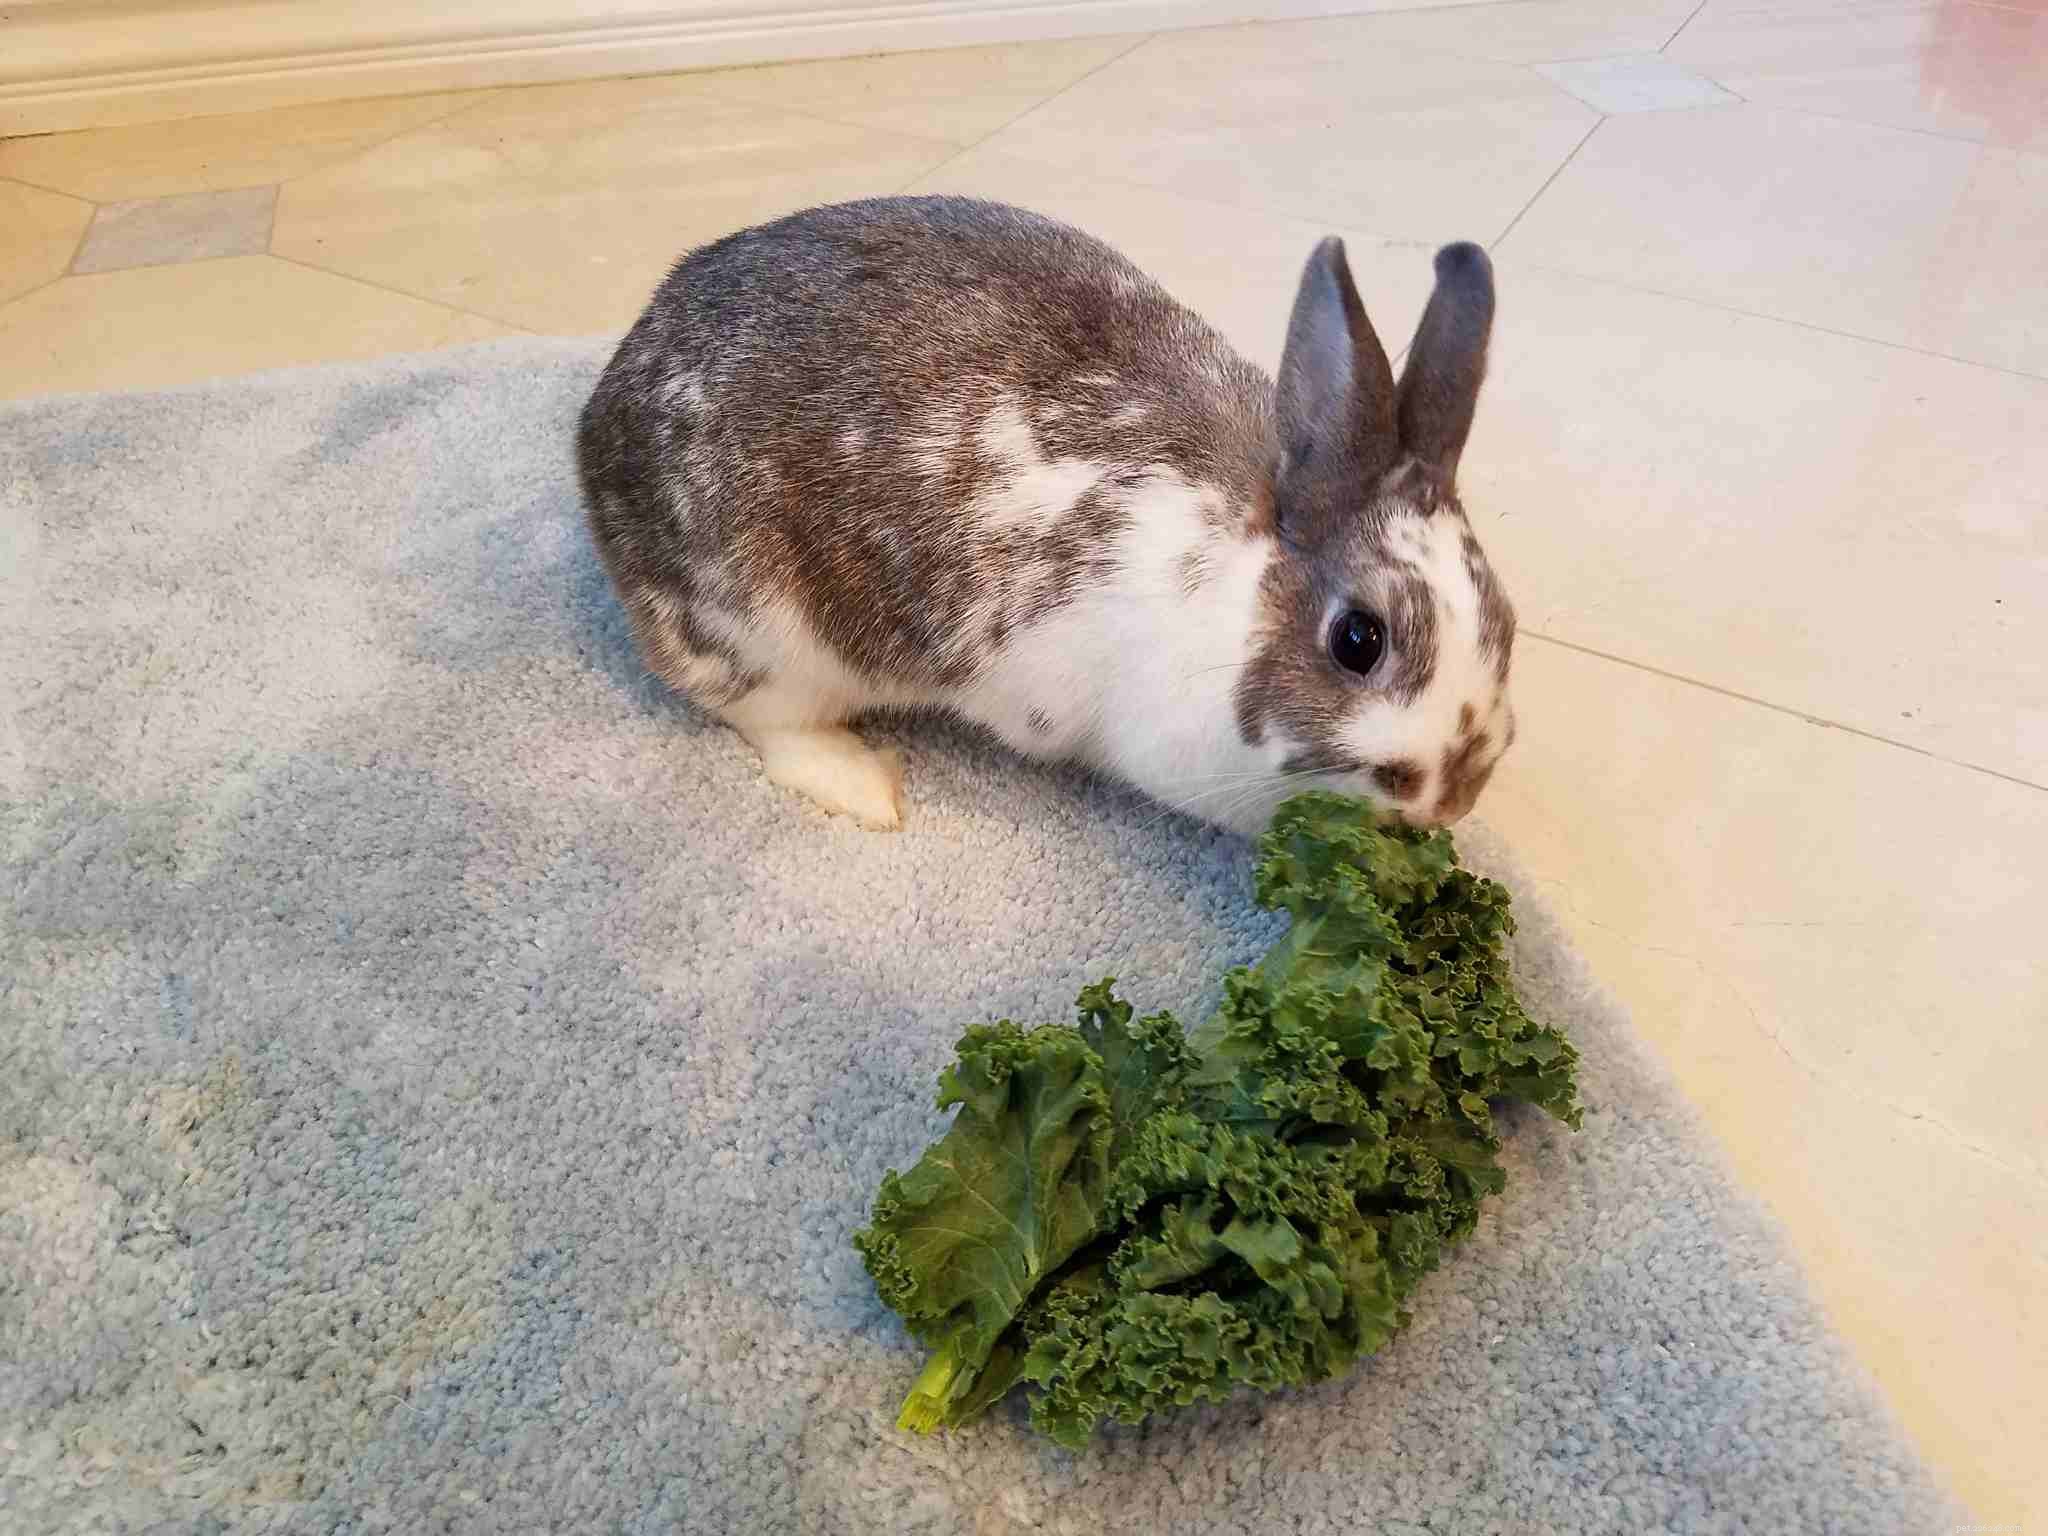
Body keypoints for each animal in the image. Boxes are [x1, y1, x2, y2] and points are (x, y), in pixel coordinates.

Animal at [577, 196, 1515, 835]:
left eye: (1506, 623)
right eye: (1359, 639)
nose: (1447, 800)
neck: (1235, 593)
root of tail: (599, 422)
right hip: (763, 634)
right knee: (767, 719)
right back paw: (868, 788)